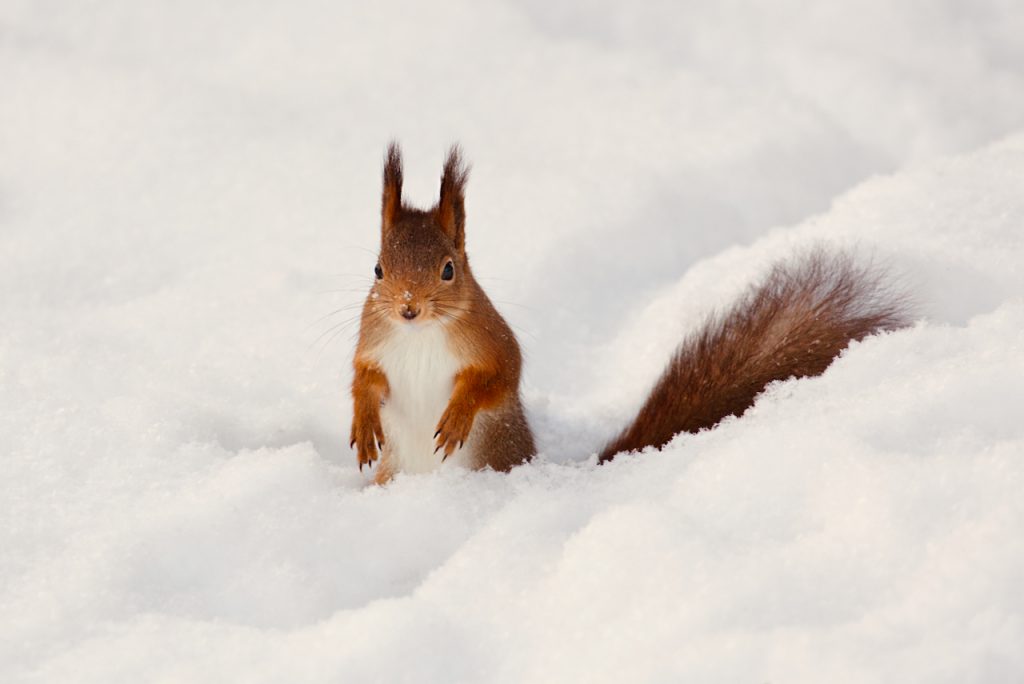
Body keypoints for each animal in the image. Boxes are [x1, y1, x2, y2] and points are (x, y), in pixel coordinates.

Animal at [350, 146, 905, 483]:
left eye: (448, 270)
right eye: (378, 268)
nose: (408, 308)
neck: (420, 336)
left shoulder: (492, 340)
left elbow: (500, 378)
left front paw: (458, 415)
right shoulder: (373, 343)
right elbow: (363, 378)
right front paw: (363, 422)